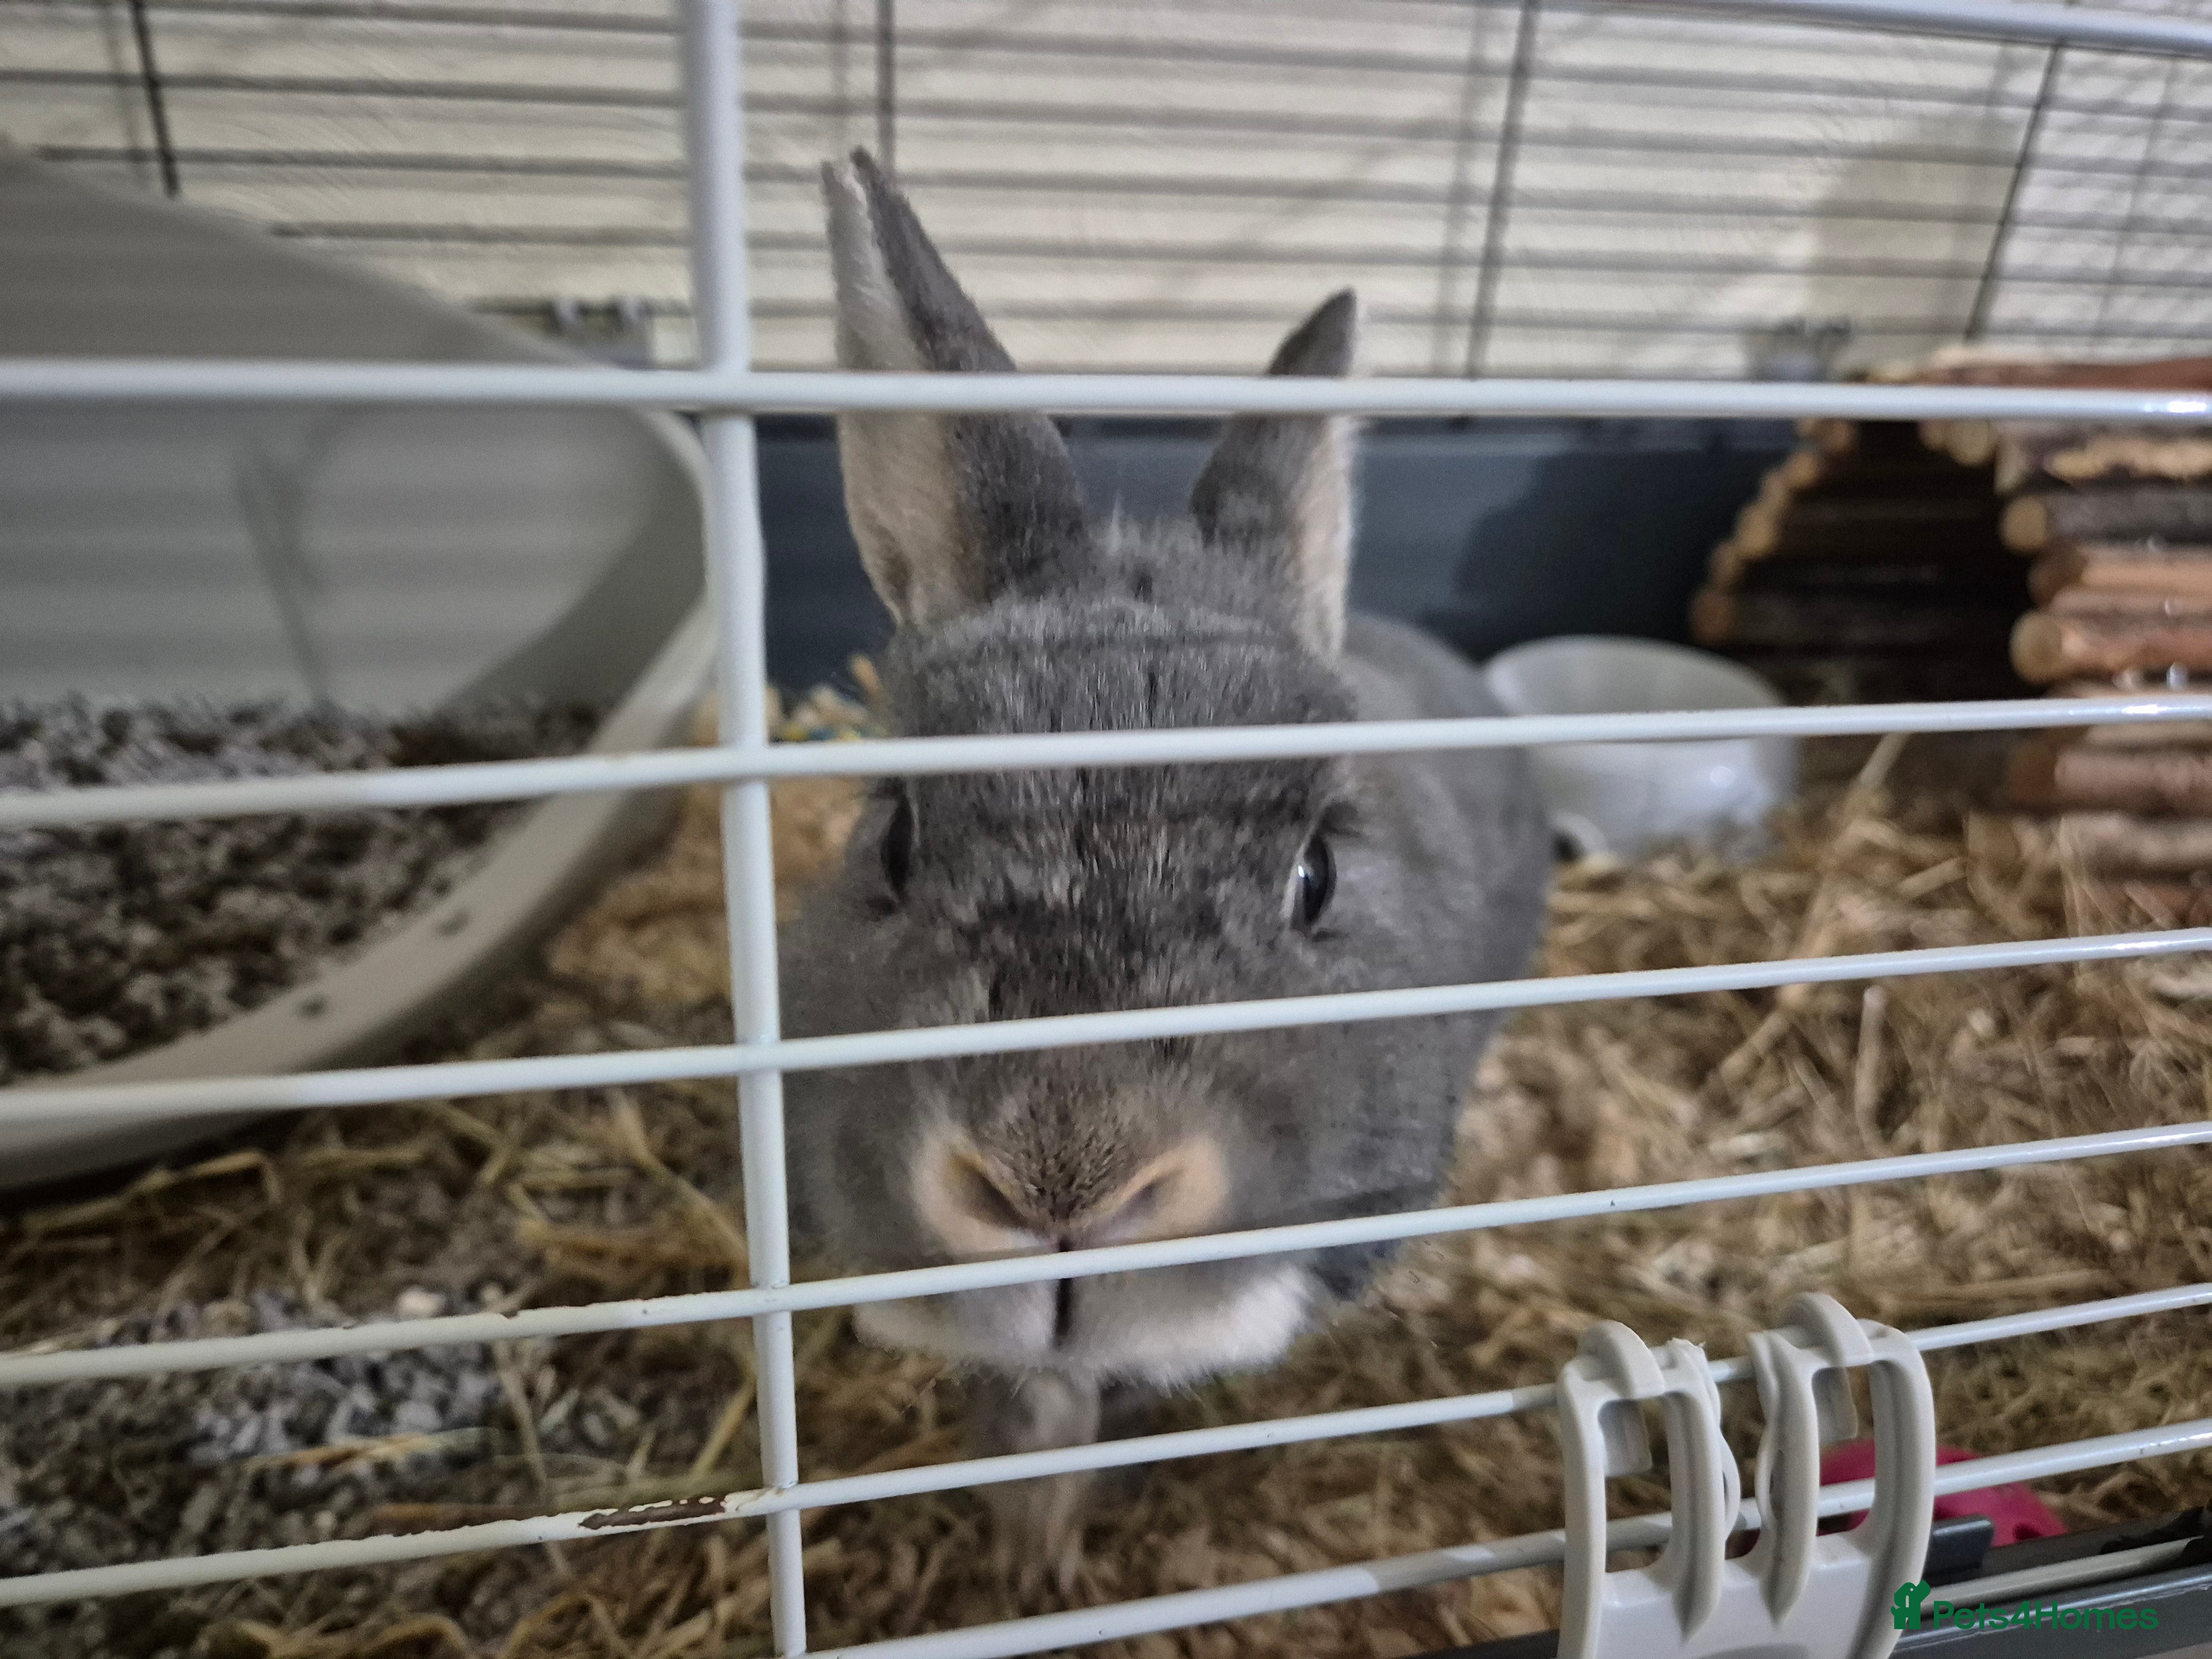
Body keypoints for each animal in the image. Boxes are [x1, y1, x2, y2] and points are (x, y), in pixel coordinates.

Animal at [780, 149, 1552, 1595]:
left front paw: (1050, 1553)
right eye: (896, 839)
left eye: (1314, 875)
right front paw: (1027, 1558)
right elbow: (1026, 1406)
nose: (1060, 1182)